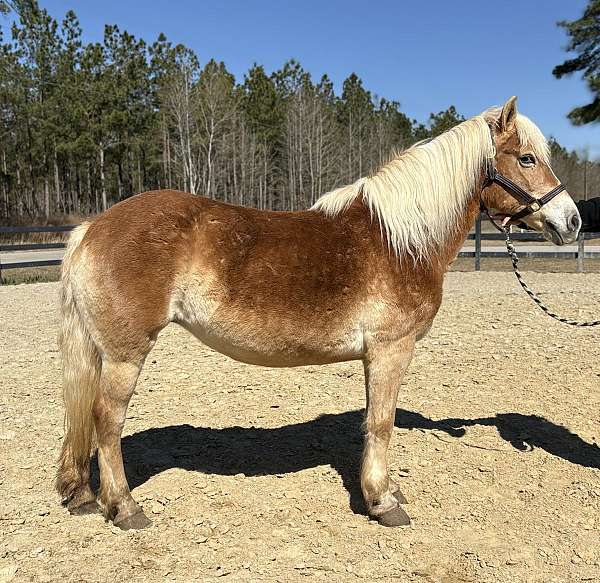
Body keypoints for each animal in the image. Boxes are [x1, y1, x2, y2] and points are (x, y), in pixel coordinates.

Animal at [57, 98, 580, 532]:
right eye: (527, 158)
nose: (572, 221)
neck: (400, 240)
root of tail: (92, 227)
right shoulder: (391, 350)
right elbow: (382, 423)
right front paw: (383, 502)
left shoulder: (375, 356)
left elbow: (371, 421)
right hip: (126, 353)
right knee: (107, 420)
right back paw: (125, 508)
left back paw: (82, 495)